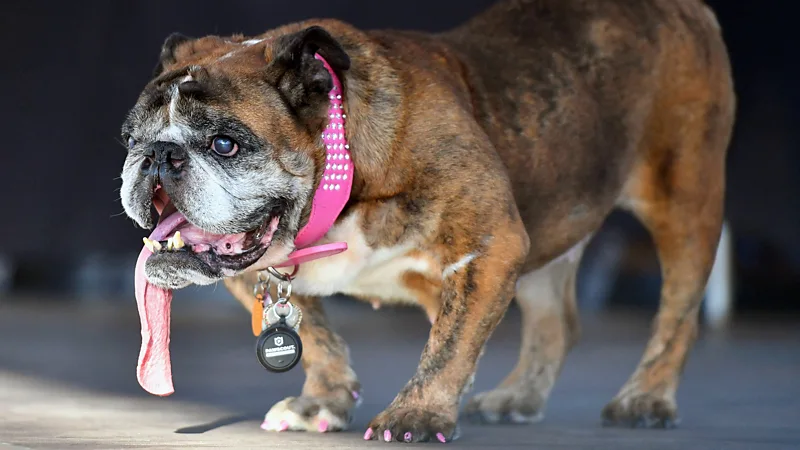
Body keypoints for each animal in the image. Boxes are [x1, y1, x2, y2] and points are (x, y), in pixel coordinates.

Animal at [119, 0, 732, 442]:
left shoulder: (490, 245)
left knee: (677, 314)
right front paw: (323, 402)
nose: (158, 155)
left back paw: (645, 398)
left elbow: (448, 346)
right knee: (556, 322)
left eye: (224, 144)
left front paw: (417, 414)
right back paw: (519, 396)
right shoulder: (255, 276)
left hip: (684, 203)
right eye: (130, 139)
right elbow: (313, 335)